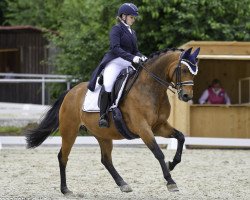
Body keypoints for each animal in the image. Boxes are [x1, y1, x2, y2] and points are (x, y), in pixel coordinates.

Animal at [26, 47, 200, 195]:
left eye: (194, 73)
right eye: (184, 70)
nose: (187, 96)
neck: (150, 89)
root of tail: (70, 92)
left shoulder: (159, 126)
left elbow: (181, 137)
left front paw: (172, 164)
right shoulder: (143, 128)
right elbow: (158, 153)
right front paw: (170, 181)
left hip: (102, 135)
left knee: (106, 160)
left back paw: (123, 184)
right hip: (70, 131)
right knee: (63, 156)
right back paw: (65, 190)